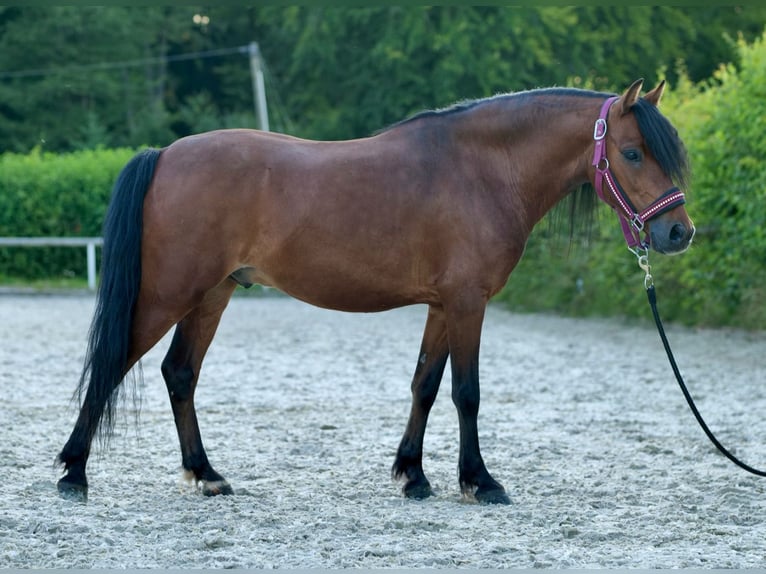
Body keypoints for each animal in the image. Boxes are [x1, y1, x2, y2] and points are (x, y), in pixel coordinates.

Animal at [57, 80, 696, 504]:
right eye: (632, 152)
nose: (678, 232)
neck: (483, 170)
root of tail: (166, 154)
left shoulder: (442, 305)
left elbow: (425, 386)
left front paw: (413, 475)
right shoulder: (468, 303)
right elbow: (467, 392)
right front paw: (480, 481)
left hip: (212, 295)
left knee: (180, 373)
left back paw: (206, 474)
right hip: (170, 293)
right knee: (114, 362)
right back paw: (74, 473)